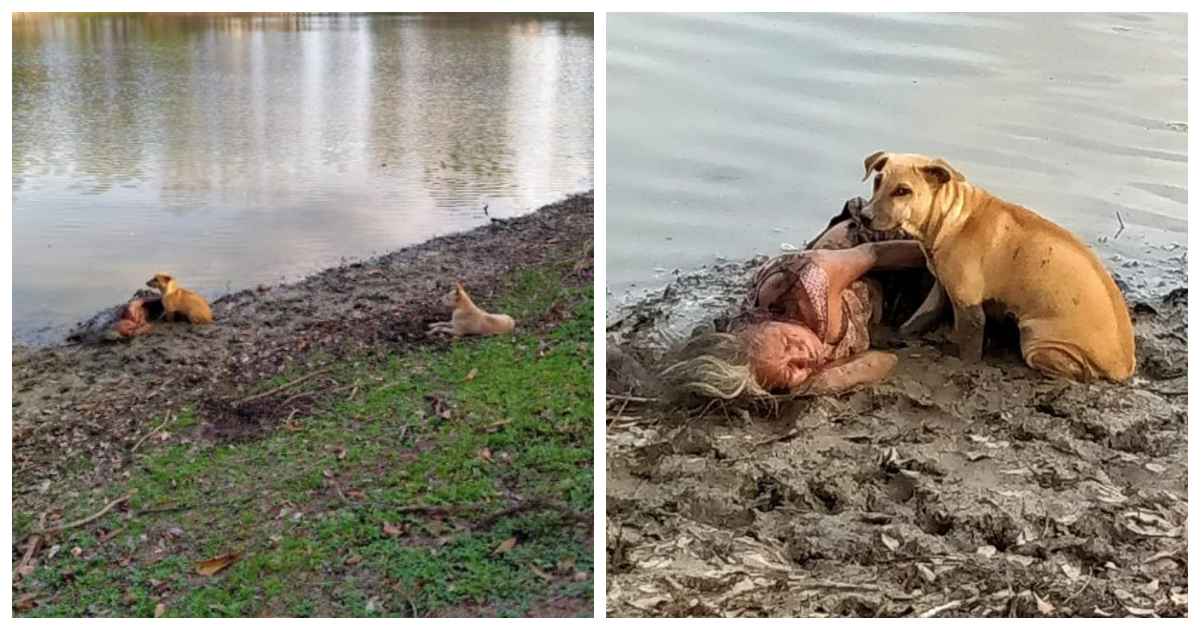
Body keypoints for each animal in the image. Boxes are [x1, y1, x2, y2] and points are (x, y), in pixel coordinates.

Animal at [864, 151, 1132, 384]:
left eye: (903, 191)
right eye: (877, 181)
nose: (865, 216)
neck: (953, 217)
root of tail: (1124, 366)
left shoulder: (969, 307)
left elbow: (970, 350)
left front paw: (964, 365)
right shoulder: (941, 290)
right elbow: (916, 321)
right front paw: (897, 335)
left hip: (1037, 340)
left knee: (1078, 371)